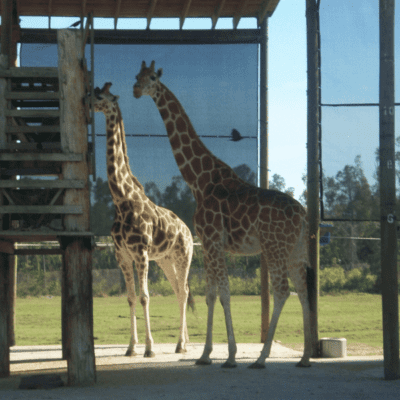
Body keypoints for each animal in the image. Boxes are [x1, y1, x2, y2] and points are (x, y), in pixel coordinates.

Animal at [92, 83, 195, 356]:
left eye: (99, 95)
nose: (85, 101)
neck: (122, 200)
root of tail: (188, 230)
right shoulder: (122, 255)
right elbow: (130, 297)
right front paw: (131, 347)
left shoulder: (140, 253)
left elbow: (144, 297)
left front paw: (149, 348)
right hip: (165, 260)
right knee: (178, 290)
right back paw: (183, 342)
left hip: (183, 256)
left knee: (184, 290)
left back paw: (181, 344)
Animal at [134, 61, 316, 368]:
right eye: (137, 76)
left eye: (152, 78)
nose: (135, 90)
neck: (199, 180)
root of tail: (303, 215)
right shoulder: (209, 244)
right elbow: (211, 294)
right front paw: (207, 354)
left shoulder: (212, 241)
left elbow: (223, 293)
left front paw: (227, 355)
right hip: (295, 250)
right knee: (302, 289)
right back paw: (303, 358)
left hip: (274, 247)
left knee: (282, 290)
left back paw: (261, 358)